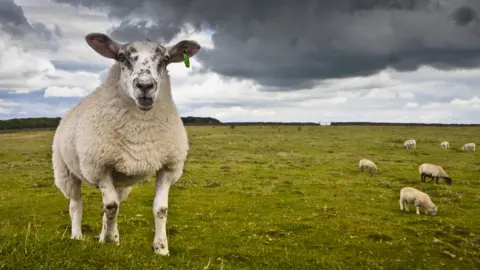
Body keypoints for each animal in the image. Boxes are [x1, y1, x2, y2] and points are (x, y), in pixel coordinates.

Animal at [51, 32, 202, 255]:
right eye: (122, 57)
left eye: (165, 59)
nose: (145, 85)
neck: (139, 130)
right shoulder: (100, 167)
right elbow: (111, 206)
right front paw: (110, 239)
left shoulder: (168, 167)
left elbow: (160, 209)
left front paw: (161, 248)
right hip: (66, 172)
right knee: (77, 204)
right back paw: (78, 236)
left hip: (120, 182)